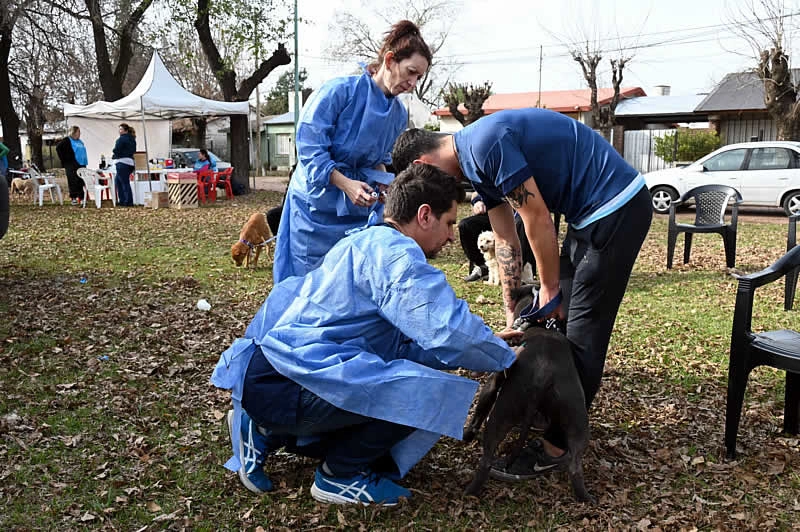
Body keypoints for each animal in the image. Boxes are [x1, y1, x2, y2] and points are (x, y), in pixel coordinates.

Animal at [462, 284, 592, 500]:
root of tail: (543, 376)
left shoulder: (492, 384)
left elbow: (478, 413)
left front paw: (467, 434)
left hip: (501, 413)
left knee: (486, 461)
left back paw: (469, 491)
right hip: (577, 420)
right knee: (575, 466)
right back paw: (585, 498)